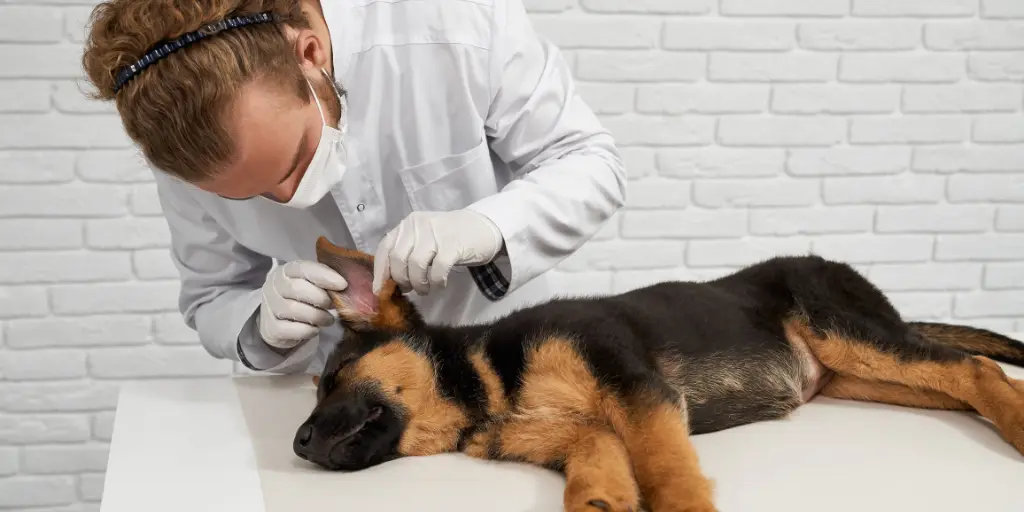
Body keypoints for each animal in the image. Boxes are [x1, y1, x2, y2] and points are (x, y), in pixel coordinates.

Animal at [296, 237, 1024, 509]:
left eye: (337, 375)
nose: (298, 445)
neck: (484, 383)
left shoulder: (634, 385)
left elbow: (663, 463)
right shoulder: (558, 427)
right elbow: (600, 449)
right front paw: (602, 498)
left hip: (849, 333)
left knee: (977, 368)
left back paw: (1014, 422)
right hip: (863, 375)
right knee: (962, 383)